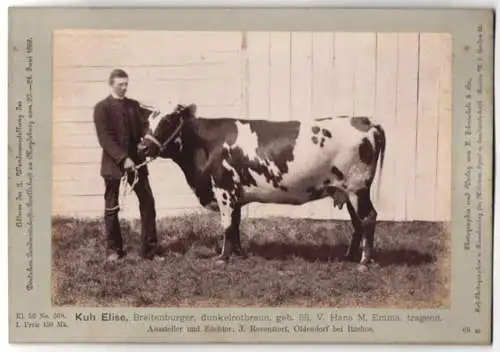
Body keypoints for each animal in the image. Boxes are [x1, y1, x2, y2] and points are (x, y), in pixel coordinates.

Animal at [137, 104, 386, 264]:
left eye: (168, 121)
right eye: (148, 122)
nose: (142, 147)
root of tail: (365, 121)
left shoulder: (223, 189)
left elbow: (227, 225)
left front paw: (223, 258)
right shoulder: (235, 194)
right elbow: (235, 224)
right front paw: (238, 253)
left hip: (357, 187)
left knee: (368, 217)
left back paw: (364, 261)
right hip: (346, 190)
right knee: (357, 222)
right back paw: (350, 256)